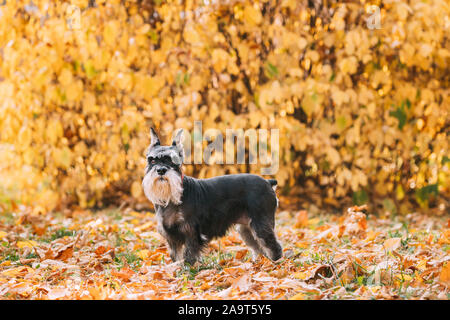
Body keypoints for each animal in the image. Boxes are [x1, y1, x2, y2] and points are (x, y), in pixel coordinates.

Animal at [142, 127, 282, 264]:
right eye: (152, 160)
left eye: (173, 161)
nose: (161, 170)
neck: (172, 197)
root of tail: (268, 183)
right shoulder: (172, 238)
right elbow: (177, 257)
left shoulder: (191, 233)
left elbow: (189, 257)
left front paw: (187, 269)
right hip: (246, 229)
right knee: (260, 248)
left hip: (260, 225)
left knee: (273, 246)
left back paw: (274, 264)